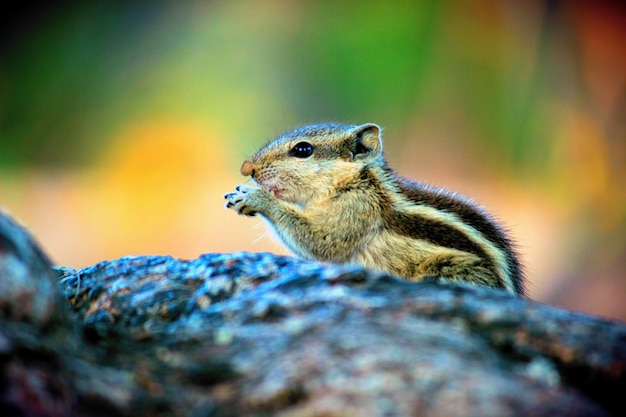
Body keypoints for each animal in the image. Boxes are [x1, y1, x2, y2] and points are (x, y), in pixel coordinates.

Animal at [222, 122, 524, 294]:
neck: (357, 182)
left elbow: (322, 244)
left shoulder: (357, 210)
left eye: (303, 150)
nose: (247, 168)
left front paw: (256, 198)